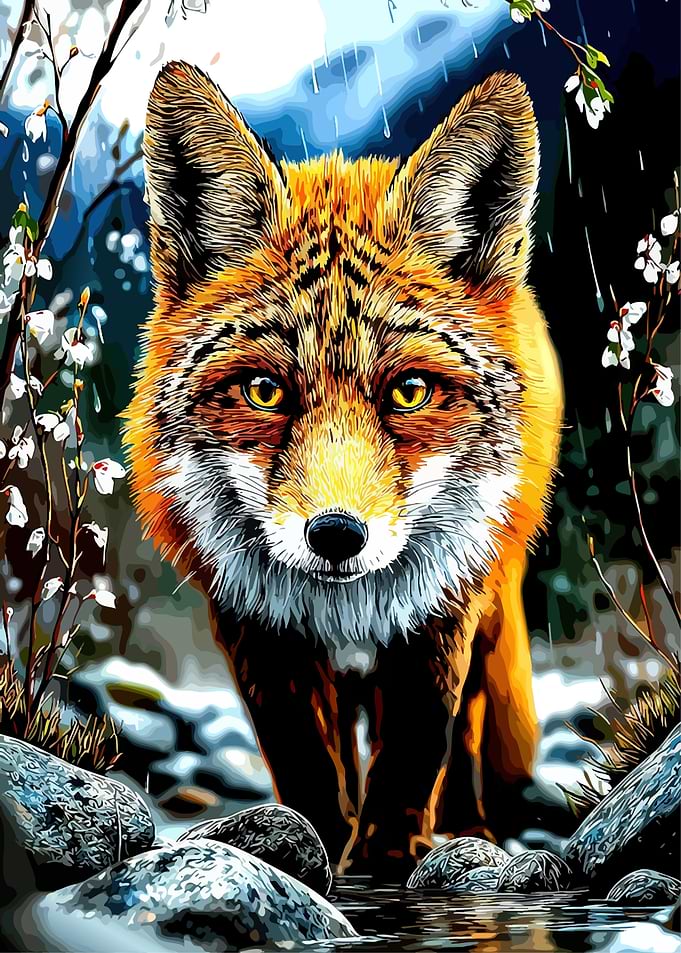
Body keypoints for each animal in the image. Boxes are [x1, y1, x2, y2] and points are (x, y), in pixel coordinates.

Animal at [124, 61, 564, 875]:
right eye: (264, 391)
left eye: (409, 391)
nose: (335, 535)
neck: (345, 609)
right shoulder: (256, 629)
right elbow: (304, 759)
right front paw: (312, 847)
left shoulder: (441, 613)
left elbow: (417, 748)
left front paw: (390, 856)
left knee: (467, 732)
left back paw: (472, 830)